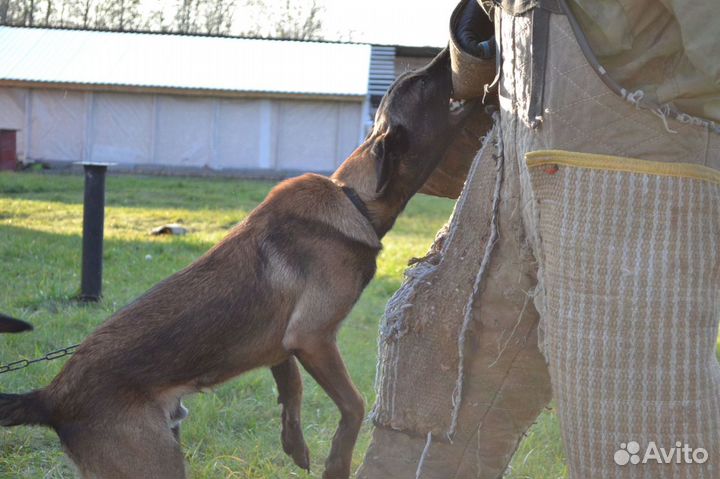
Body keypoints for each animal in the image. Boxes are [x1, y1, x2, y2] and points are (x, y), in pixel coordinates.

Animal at [1, 49, 456, 479]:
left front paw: (294, 442)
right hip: (154, 462)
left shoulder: (284, 342)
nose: (449, 53)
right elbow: (354, 404)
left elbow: (291, 385)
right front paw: (337, 463)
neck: (352, 196)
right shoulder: (313, 337)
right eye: (419, 84)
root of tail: (51, 396)